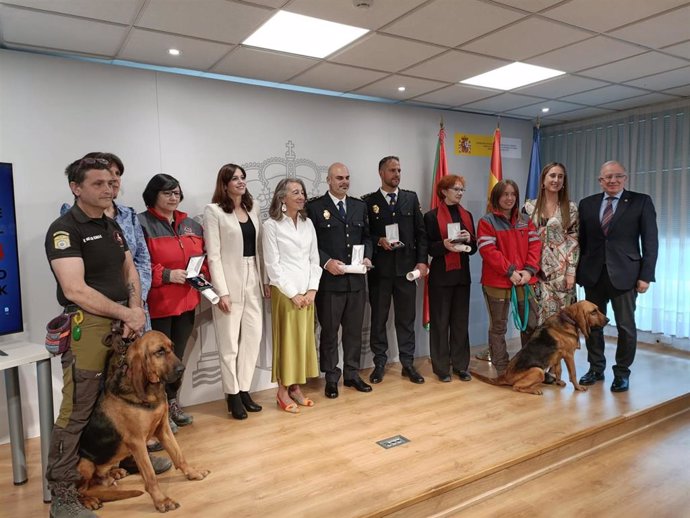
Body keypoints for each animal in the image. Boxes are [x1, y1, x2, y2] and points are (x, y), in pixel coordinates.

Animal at [76, 332, 208, 512]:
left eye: (172, 347)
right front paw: (162, 501)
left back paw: (114, 473)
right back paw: (90, 500)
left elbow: (179, 455)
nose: (182, 369)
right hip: (85, 464)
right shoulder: (137, 442)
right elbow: (150, 476)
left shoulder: (163, 429)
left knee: (99, 478)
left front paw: (193, 473)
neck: (150, 390)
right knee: (81, 490)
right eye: (159, 351)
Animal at [472, 302, 608, 396]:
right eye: (593, 312)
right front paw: (578, 387)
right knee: (516, 386)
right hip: (538, 371)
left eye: (598, 309)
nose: (608, 320)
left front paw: (558, 382)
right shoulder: (569, 355)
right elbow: (573, 373)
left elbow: (559, 371)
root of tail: (505, 375)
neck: (568, 319)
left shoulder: (557, 356)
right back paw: (534, 390)